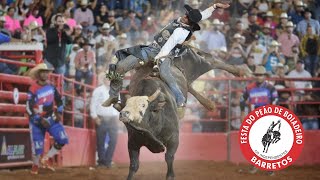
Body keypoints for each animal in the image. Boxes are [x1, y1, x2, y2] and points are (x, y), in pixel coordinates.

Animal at [114, 48, 251, 180]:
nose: (124, 114)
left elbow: (169, 157)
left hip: (196, 63)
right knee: (190, 84)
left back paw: (240, 71)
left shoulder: (174, 138)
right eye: (127, 106)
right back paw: (209, 103)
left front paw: (170, 175)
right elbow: (134, 165)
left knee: (211, 60)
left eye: (143, 107)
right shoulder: (133, 142)